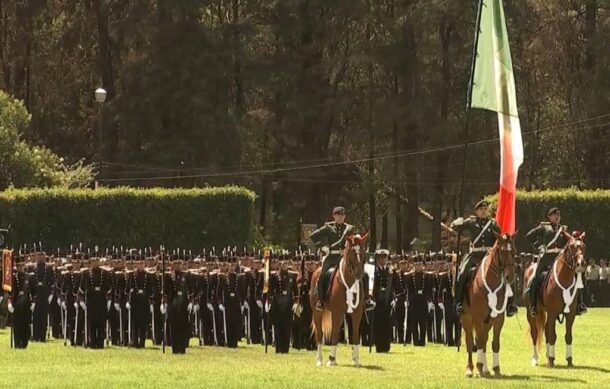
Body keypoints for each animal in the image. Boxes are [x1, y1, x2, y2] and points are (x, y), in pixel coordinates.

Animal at [308, 233, 366, 366]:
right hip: (317, 312)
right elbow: (334, 334)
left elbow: (355, 335)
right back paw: (319, 359)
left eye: (363, 251)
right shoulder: (337, 312)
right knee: (320, 334)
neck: (348, 283)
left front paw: (356, 360)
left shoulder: (357, 313)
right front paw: (331, 359)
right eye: (352, 252)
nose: (359, 274)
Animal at [458, 232, 516, 378]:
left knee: (484, 339)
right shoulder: (477, 318)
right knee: (470, 340)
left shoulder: (498, 318)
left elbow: (494, 343)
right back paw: (470, 369)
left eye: (514, 251)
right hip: (466, 318)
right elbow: (477, 341)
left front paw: (496, 368)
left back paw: (485, 369)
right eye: (502, 251)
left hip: (487, 322)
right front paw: (478, 367)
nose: (510, 277)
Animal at [524, 230, 584, 366]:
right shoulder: (552, 313)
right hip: (530, 312)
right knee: (535, 332)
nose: (581, 263)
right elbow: (552, 336)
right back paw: (535, 358)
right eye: (572, 246)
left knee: (546, 331)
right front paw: (552, 360)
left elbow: (568, 336)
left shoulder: (570, 314)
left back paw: (547, 356)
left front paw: (569, 360)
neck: (564, 280)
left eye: (584, 246)